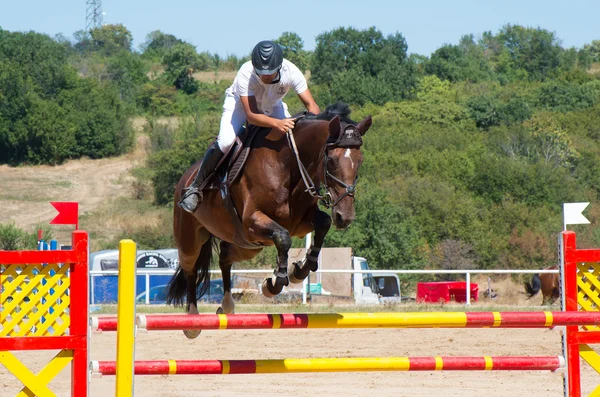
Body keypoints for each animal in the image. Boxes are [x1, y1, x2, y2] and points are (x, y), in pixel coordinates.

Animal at [165, 102, 370, 338]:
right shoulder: (253, 221)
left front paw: (300, 270)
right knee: (190, 269)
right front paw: (275, 283)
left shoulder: (300, 223)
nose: (345, 217)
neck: (288, 164)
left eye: (360, 161)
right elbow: (283, 238)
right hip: (192, 239)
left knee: (225, 257)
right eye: (333, 160)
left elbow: (323, 223)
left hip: (247, 245)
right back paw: (192, 321)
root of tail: (186, 177)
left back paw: (226, 306)